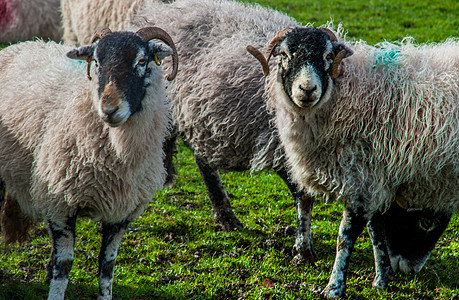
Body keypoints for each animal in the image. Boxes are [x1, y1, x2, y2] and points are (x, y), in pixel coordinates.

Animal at [0, 26, 179, 300]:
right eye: (96, 62)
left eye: (142, 61)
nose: (109, 109)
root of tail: (23, 43)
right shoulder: (59, 202)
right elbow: (64, 266)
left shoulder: (122, 213)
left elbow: (107, 268)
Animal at [250, 26, 458, 298]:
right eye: (284, 54)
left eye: (328, 56)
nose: (307, 89)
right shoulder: (375, 180)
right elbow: (376, 231)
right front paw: (381, 279)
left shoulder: (361, 178)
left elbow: (345, 237)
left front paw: (334, 287)